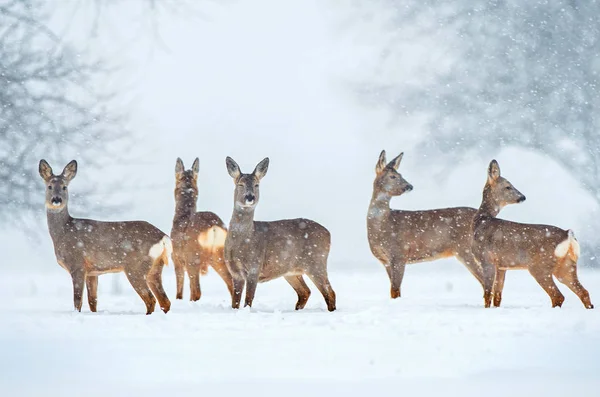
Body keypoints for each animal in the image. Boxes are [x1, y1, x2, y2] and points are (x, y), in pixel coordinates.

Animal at [38, 159, 171, 314]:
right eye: (49, 186)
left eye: (65, 187)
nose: (56, 199)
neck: (64, 231)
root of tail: (163, 237)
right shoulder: (92, 272)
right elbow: (93, 301)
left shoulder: (77, 264)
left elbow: (77, 301)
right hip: (155, 267)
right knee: (165, 301)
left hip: (135, 267)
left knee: (151, 300)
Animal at [171, 158, 234, 300]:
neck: (182, 216)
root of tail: (214, 226)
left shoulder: (176, 258)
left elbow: (179, 291)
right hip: (219, 255)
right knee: (232, 282)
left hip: (193, 257)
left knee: (196, 291)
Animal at [224, 156, 338, 310]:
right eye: (240, 184)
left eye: (257, 185)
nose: (250, 197)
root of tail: (328, 233)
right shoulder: (234, 272)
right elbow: (235, 301)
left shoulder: (255, 266)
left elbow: (248, 299)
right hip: (291, 271)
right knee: (305, 291)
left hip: (317, 261)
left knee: (329, 292)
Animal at [366, 150, 488, 298]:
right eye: (393, 176)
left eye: (400, 175)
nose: (409, 186)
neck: (383, 225)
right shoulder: (386, 261)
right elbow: (395, 291)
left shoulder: (399, 253)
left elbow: (395, 290)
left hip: (466, 249)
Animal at [474, 159, 596, 308]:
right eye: (508, 186)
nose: (523, 197)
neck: (481, 222)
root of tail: (568, 234)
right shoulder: (502, 266)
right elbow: (498, 295)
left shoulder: (486, 258)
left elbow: (487, 293)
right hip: (566, 265)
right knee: (583, 292)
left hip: (540, 266)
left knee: (558, 295)